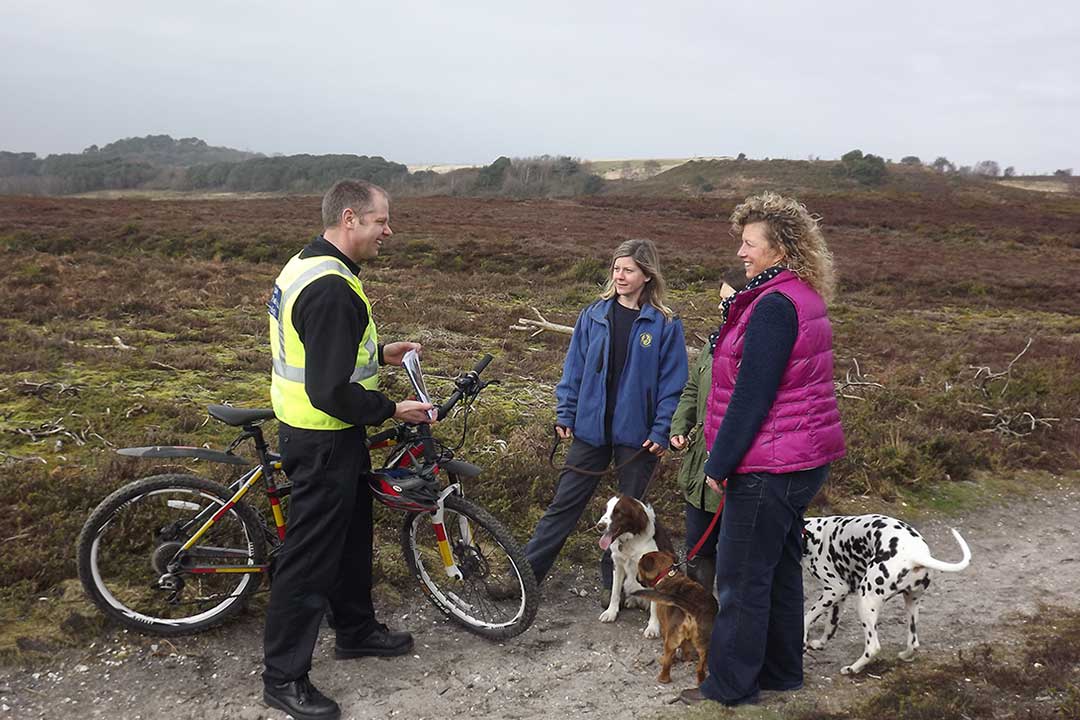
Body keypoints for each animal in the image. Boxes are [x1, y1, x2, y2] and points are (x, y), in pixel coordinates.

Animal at [630, 552, 717, 682]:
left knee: (668, 661)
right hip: (704, 642)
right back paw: (701, 677)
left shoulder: (665, 628)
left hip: (671, 640)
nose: (636, 577)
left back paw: (663, 678)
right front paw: (686, 656)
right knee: (700, 666)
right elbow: (685, 646)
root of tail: (690, 607)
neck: (668, 575)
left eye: (639, 567)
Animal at [803, 511, 972, 677]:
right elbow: (830, 625)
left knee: (873, 648)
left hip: (865, 602)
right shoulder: (838, 599)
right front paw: (820, 643)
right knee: (913, 643)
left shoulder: (834, 590)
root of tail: (915, 554)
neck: (813, 534)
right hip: (911, 604)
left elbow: (807, 618)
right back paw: (904, 655)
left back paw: (852, 668)